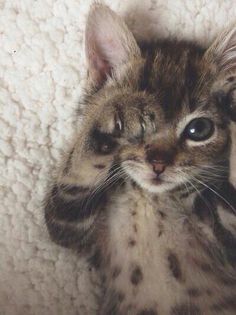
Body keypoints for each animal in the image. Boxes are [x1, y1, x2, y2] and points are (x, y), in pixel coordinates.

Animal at [44, 3, 236, 315]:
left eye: (198, 130)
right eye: (138, 135)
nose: (158, 163)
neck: (148, 197)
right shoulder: (71, 227)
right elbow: (72, 184)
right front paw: (120, 114)